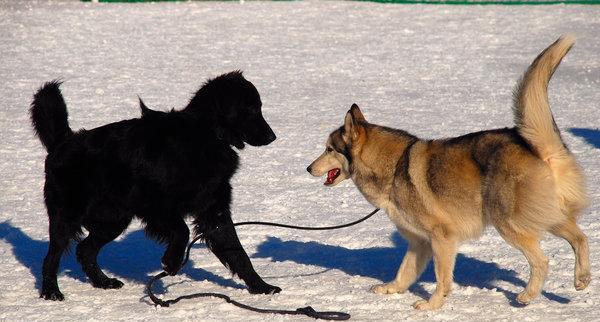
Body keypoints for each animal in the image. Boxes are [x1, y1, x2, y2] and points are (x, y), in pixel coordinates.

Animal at [32, 71, 284, 300]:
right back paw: (51, 292)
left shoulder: (214, 211)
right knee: (51, 257)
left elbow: (238, 253)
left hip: (113, 221)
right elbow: (182, 231)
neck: (206, 134)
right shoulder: (154, 204)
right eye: (250, 109)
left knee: (85, 250)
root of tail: (62, 141)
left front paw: (261, 288)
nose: (272, 136)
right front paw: (171, 262)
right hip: (66, 217)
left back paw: (103, 282)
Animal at [310, 35, 592, 310]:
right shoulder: (420, 243)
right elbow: (404, 272)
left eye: (328, 149)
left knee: (542, 260)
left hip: (508, 222)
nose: (308, 168)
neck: (394, 166)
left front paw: (432, 304)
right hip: (549, 216)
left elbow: (442, 278)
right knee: (580, 238)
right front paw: (391, 289)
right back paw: (581, 279)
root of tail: (535, 145)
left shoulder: (442, 238)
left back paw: (528, 295)